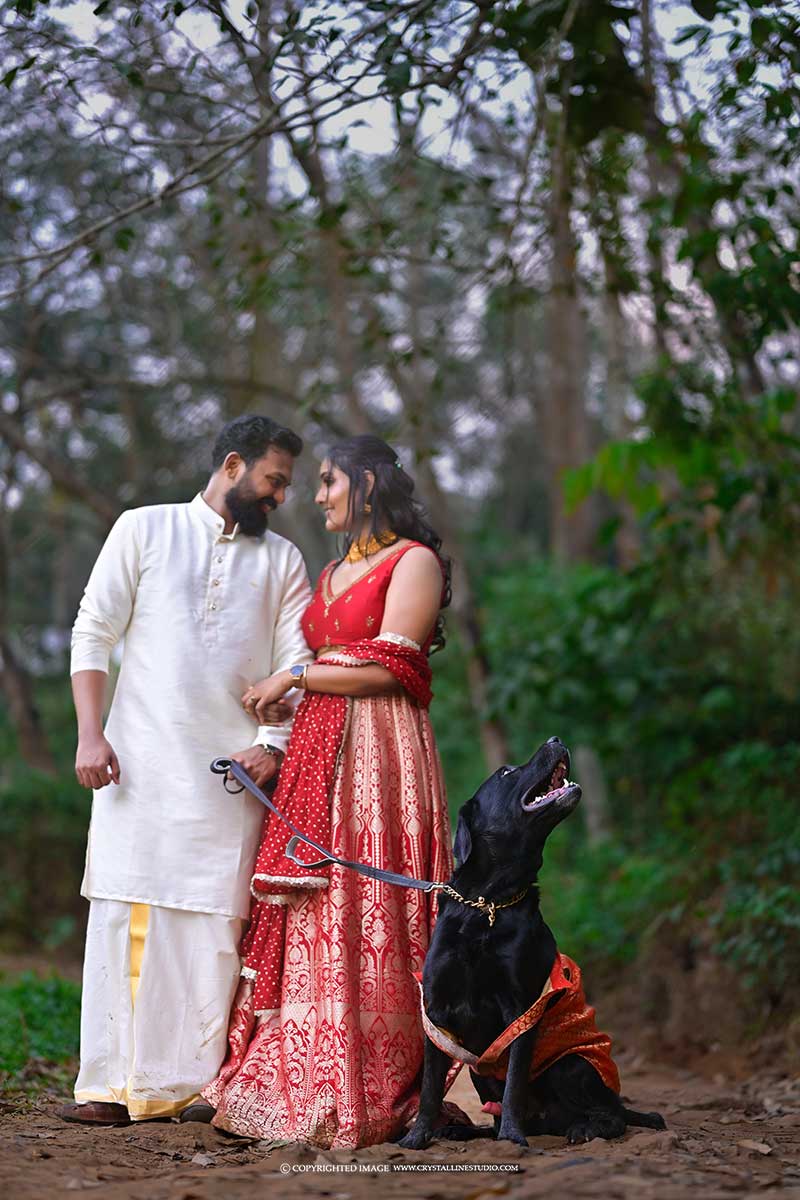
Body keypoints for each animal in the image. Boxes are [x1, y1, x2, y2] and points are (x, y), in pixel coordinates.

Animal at [400, 734, 662, 1147]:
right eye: (506, 772)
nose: (556, 738)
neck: (488, 904)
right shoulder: (437, 1011)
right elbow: (430, 1086)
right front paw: (417, 1136)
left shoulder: (521, 1008)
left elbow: (514, 1086)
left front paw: (512, 1137)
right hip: (479, 1070)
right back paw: (463, 1129)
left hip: (571, 1065)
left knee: (613, 1115)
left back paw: (585, 1128)